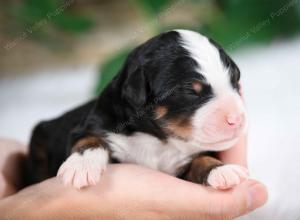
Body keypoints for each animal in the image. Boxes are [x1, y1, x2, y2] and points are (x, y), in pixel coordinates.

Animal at [25, 30, 247, 190]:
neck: (159, 140)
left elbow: (200, 159)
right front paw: (82, 165)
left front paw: (221, 170)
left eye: (235, 81)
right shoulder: (95, 123)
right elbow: (89, 139)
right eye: (191, 92)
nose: (237, 118)